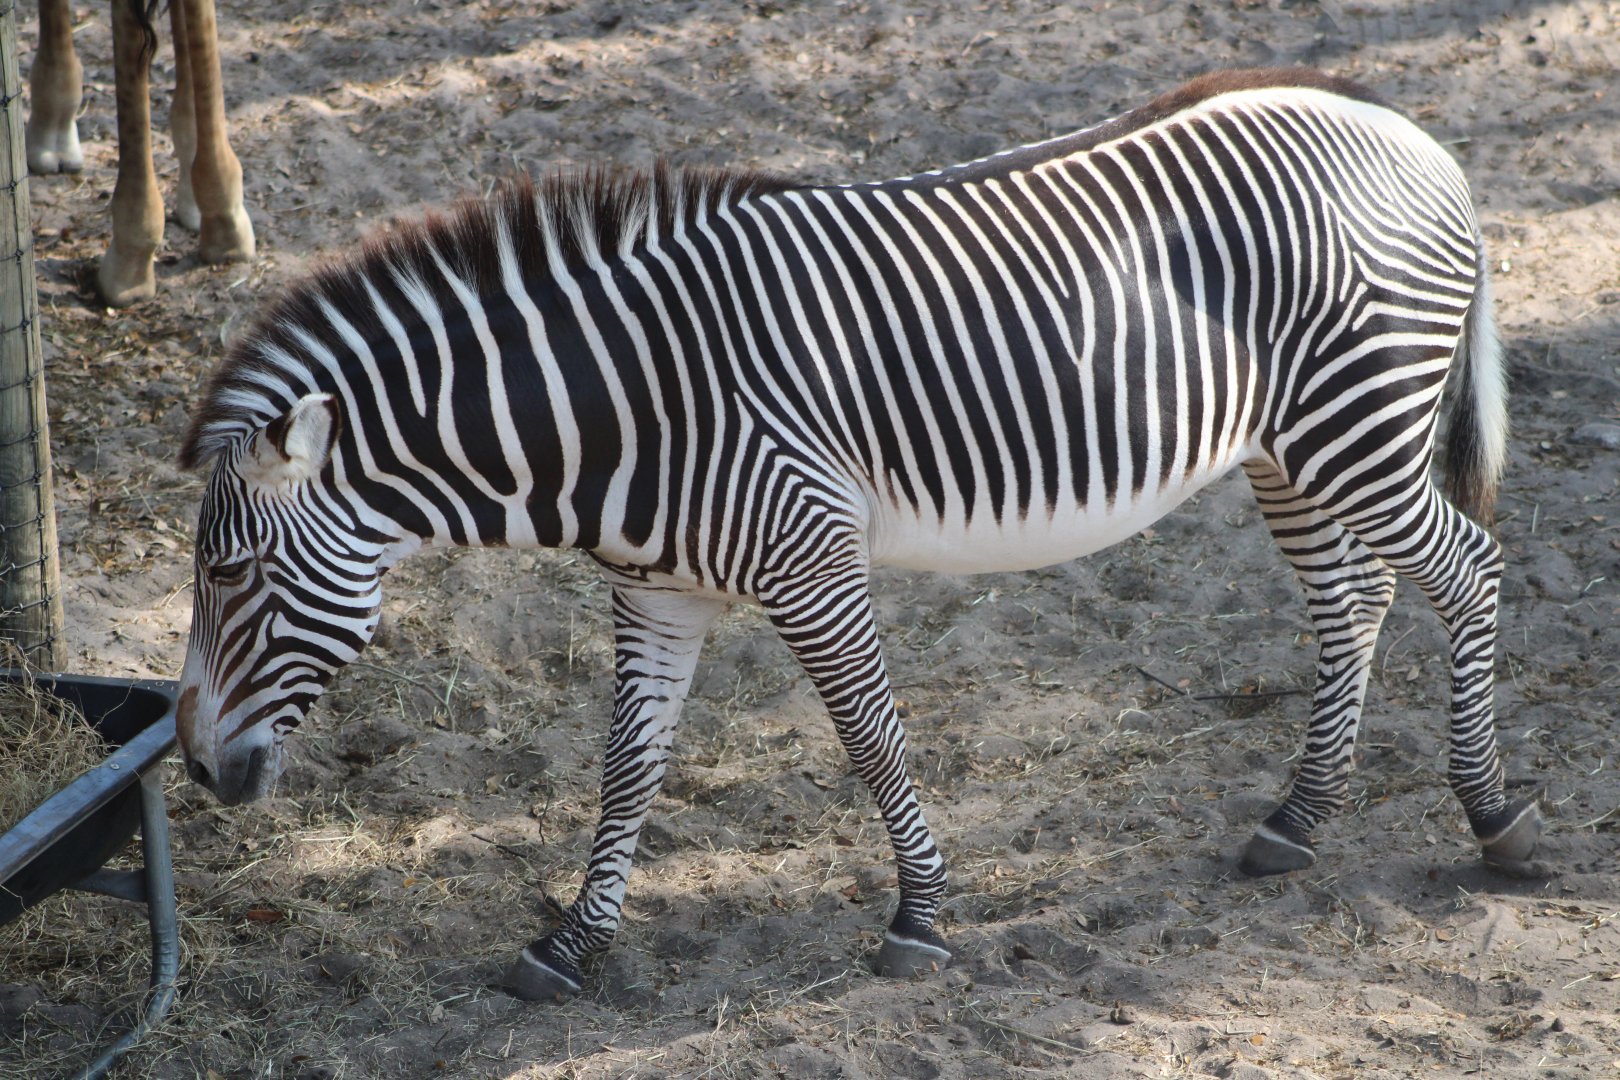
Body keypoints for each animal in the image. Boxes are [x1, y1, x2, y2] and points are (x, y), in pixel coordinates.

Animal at [173, 67, 1545, 1002]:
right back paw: (1297, 821)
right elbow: (626, 767)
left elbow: (872, 737)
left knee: (1468, 575)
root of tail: (1407, 132)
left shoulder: (810, 559)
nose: (191, 771)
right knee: (1353, 603)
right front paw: (571, 944)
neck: (630, 406)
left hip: (1356, 425)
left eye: (231, 574)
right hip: (1291, 449)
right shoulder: (655, 590)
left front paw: (920, 919)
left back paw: (1497, 825)